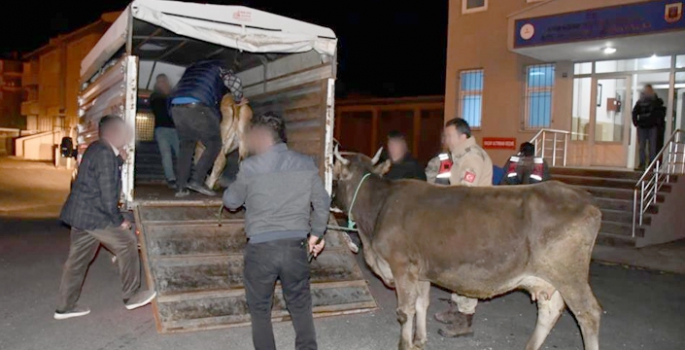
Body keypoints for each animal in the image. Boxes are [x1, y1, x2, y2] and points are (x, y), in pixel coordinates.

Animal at [334, 149, 600, 350]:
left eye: (337, 176)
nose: (332, 201)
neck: (379, 208)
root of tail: (585, 198)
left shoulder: (402, 266)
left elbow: (405, 310)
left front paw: (405, 344)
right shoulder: (421, 271)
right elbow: (422, 304)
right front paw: (420, 340)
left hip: (569, 275)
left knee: (588, 314)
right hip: (547, 278)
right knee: (550, 311)